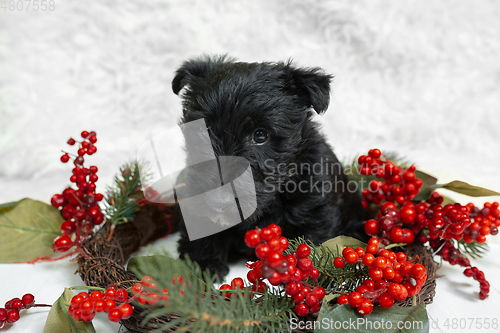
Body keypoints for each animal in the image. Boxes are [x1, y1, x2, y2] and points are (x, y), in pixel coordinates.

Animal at [172, 55, 368, 278]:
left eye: (260, 135)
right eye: (203, 129)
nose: (218, 201)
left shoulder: (316, 209)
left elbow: (309, 241)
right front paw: (201, 264)